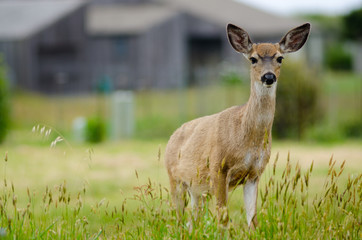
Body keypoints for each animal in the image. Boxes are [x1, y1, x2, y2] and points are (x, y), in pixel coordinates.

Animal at [165, 22, 310, 229]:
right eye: (253, 59)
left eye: (280, 58)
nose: (268, 77)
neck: (247, 139)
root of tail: (172, 136)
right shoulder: (218, 167)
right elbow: (223, 217)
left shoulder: (255, 174)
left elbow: (253, 219)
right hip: (175, 179)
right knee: (178, 219)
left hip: (197, 189)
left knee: (193, 220)